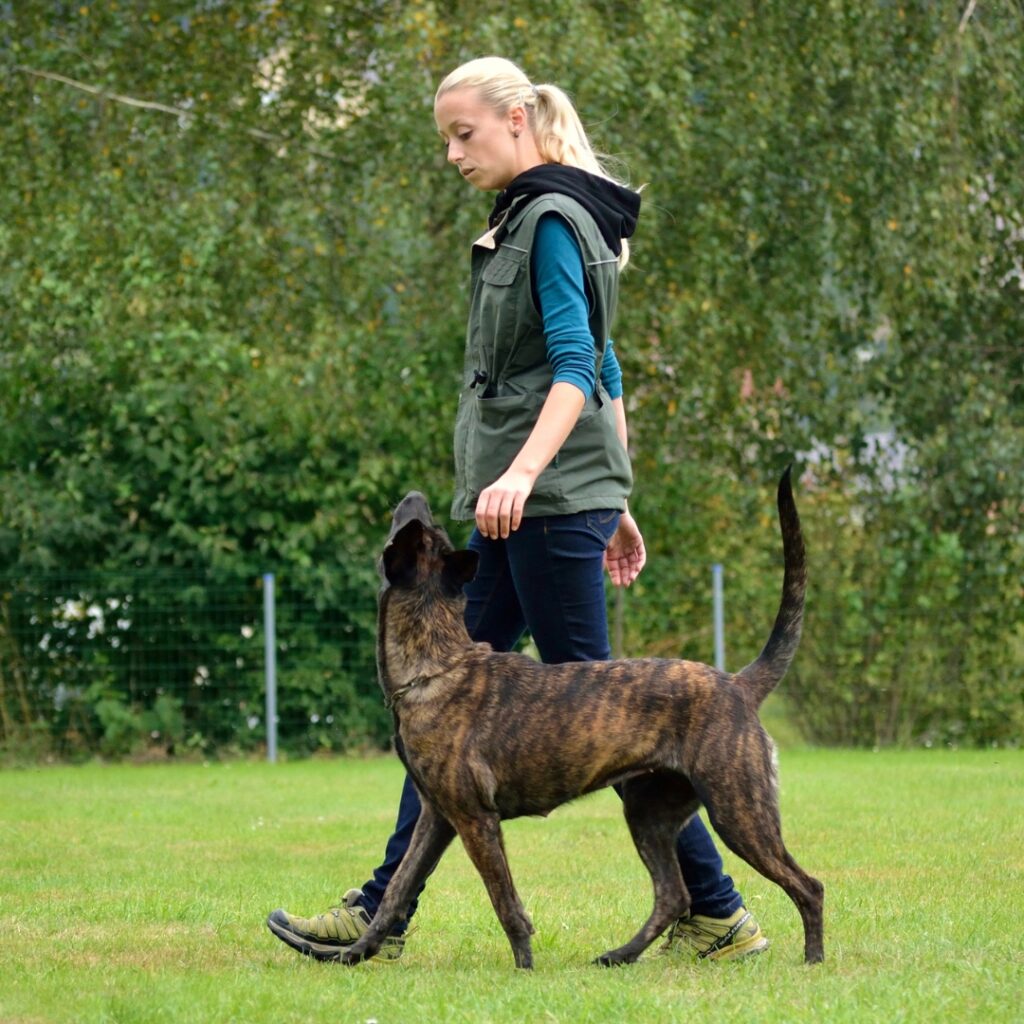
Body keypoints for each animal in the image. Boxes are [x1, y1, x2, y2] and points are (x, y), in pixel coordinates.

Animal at [344, 468, 823, 966]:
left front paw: (524, 966)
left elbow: (504, 901)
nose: (414, 495)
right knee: (673, 895)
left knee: (809, 886)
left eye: (414, 526)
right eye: (427, 527)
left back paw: (813, 959)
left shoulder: (475, 819)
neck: (436, 662)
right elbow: (398, 888)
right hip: (649, 813)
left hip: (738, 812)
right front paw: (356, 950)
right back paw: (622, 954)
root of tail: (738, 684)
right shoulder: (436, 817)